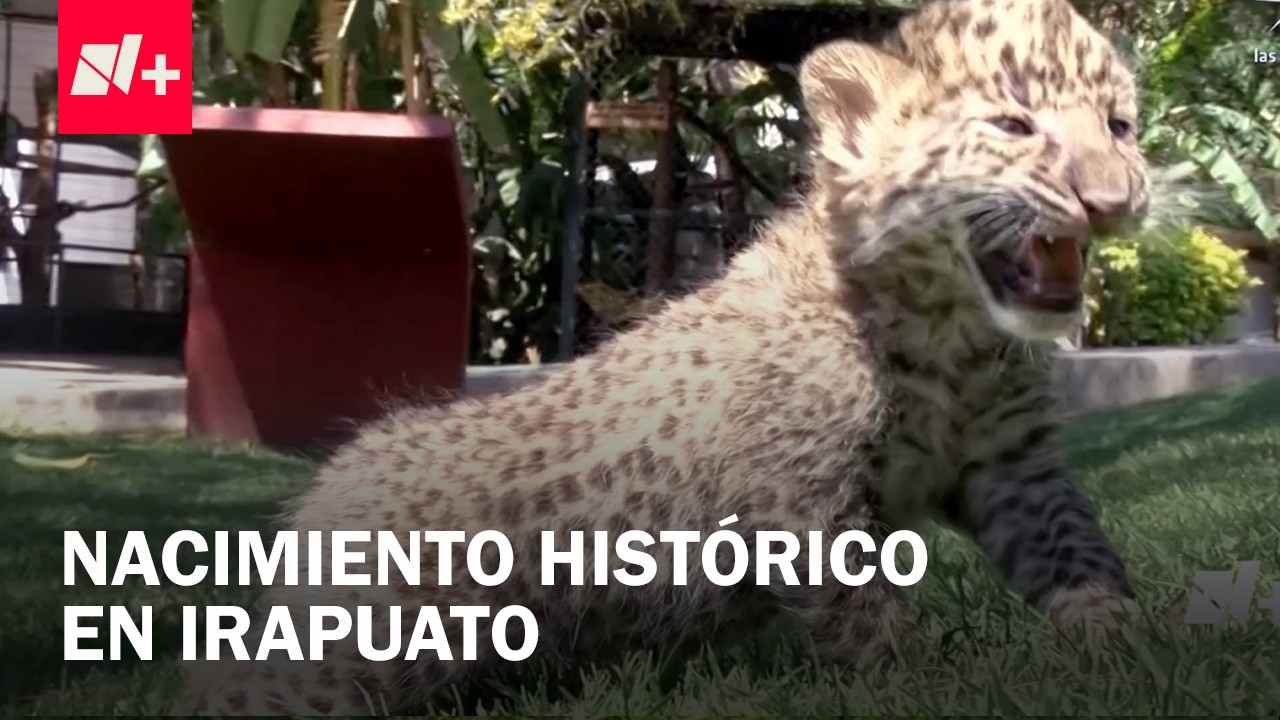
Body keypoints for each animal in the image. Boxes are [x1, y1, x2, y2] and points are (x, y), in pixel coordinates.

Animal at [186, 0, 1148, 713]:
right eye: (1012, 124)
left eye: (1121, 127)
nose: (1111, 200)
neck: (954, 335)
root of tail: (324, 496)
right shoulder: (800, 495)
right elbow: (863, 609)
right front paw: (924, 684)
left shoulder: (1010, 463)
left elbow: (1075, 551)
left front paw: (1123, 640)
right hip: (356, 650)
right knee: (242, 689)